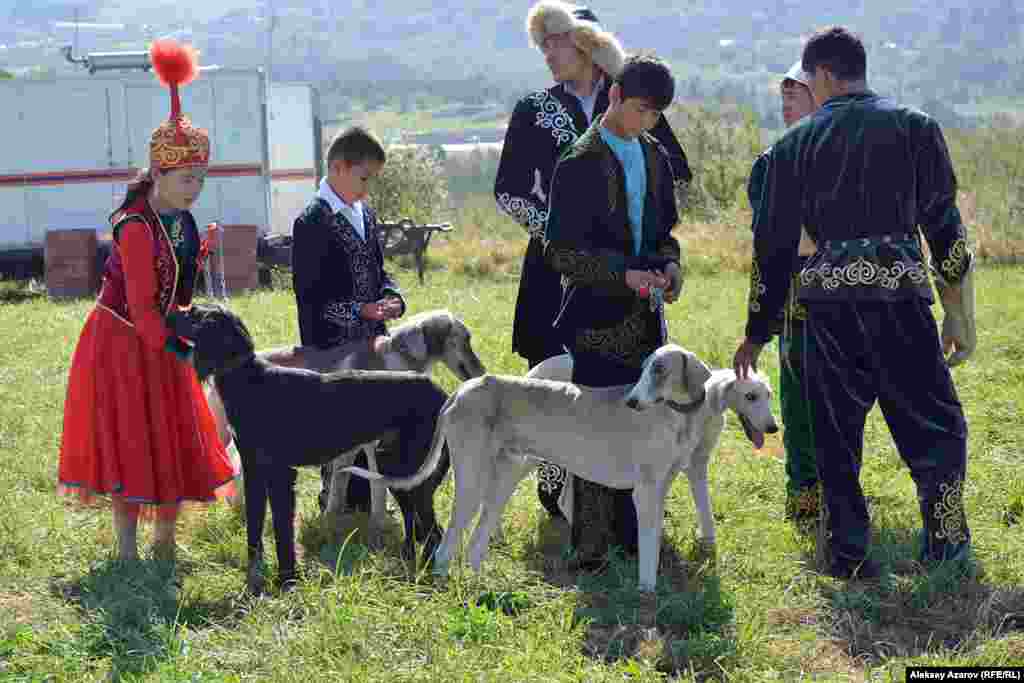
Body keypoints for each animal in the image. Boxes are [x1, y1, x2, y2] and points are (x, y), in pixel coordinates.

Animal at [178, 305, 450, 593]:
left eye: (192, 312)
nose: (167, 313)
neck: (249, 379)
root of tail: (443, 394)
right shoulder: (254, 471)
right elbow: (254, 531)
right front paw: (254, 582)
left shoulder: (280, 473)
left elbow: (283, 533)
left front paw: (287, 581)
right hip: (395, 469)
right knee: (419, 525)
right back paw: (412, 565)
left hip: (411, 472)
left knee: (433, 532)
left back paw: (429, 578)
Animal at [348, 344, 778, 589]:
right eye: (644, 369)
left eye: (659, 369)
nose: (631, 402)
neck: (673, 415)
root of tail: (461, 390)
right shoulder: (645, 492)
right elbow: (649, 551)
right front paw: (647, 597)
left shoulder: (669, 482)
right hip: (473, 479)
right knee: (447, 543)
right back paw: (445, 584)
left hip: (503, 478)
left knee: (475, 542)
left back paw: (479, 582)